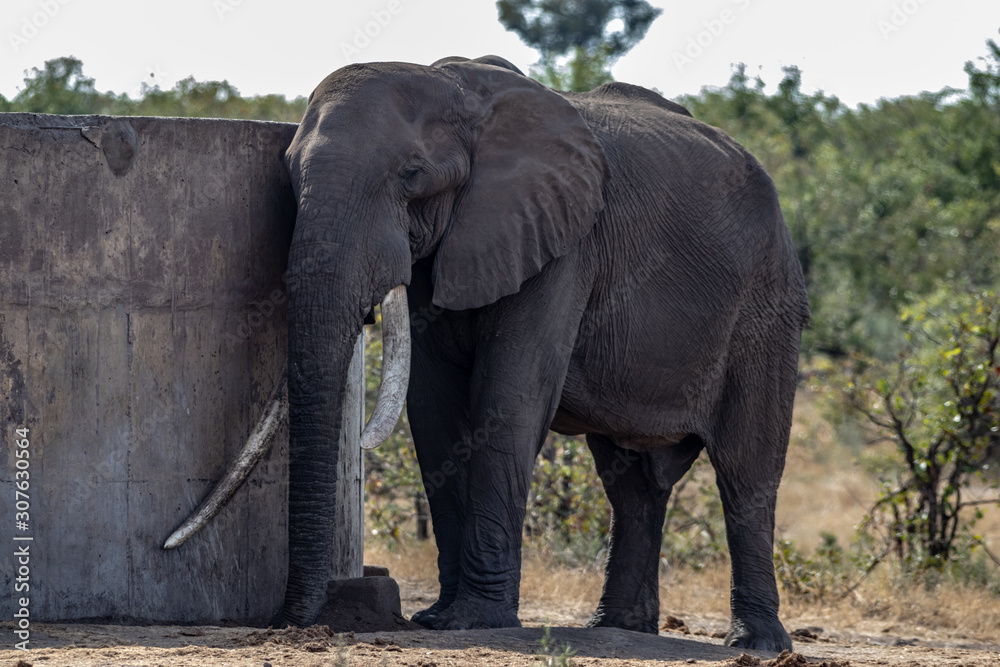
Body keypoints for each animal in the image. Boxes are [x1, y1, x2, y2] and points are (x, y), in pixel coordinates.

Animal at [167, 54, 809, 651]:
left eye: (412, 175)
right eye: (289, 174)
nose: (286, 624)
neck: (459, 90)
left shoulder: (562, 240)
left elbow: (509, 394)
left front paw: (473, 620)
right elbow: (432, 406)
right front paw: (437, 618)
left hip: (767, 306)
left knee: (747, 471)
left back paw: (755, 643)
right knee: (632, 482)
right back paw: (618, 626)